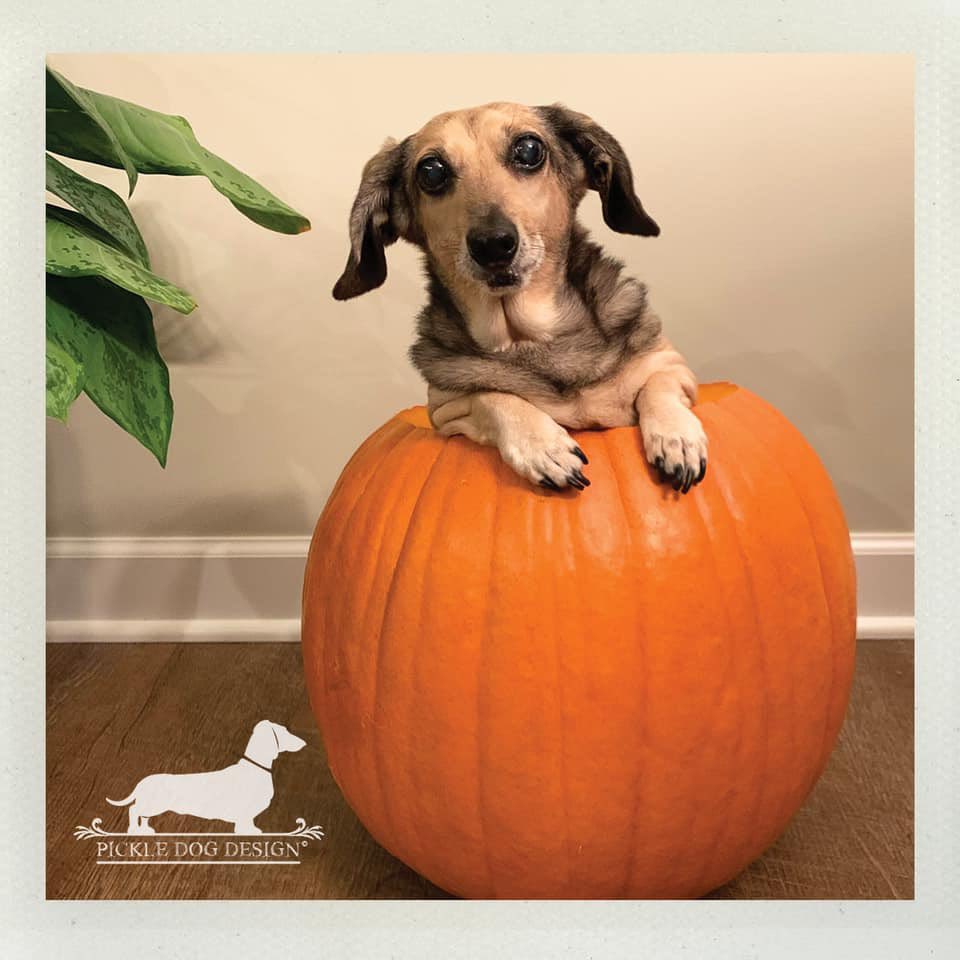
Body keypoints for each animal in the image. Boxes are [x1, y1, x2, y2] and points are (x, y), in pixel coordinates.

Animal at [104, 720, 304, 832]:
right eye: (284, 731)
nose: (304, 743)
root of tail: (143, 781)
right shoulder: (244, 811)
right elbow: (244, 823)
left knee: (142, 816)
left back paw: (145, 831)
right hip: (154, 805)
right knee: (133, 810)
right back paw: (133, 830)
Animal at [334, 101, 708, 496]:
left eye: (529, 150)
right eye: (431, 171)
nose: (492, 244)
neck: (527, 338)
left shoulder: (671, 365)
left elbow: (658, 387)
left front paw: (676, 439)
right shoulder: (446, 407)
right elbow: (493, 396)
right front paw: (544, 447)